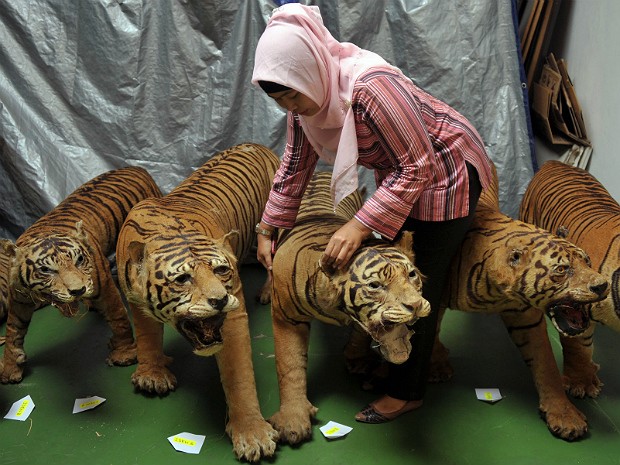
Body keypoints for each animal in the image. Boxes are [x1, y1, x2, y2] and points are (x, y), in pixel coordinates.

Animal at [0, 165, 162, 382]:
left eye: (79, 260)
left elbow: (118, 318)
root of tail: (137, 166)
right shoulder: (19, 301)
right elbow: (13, 331)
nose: (78, 291)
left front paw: (124, 354)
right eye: (46, 270)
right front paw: (10, 368)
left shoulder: (105, 288)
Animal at [115, 143, 278, 462]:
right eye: (183, 279)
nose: (220, 299)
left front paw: (252, 434)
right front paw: (152, 375)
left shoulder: (234, 318)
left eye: (221, 270)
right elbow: (147, 337)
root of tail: (257, 144)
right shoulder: (135, 301)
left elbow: (239, 376)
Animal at [272, 169, 432, 442]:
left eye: (411, 275)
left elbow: (361, 331)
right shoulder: (286, 318)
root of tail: (321, 170)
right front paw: (293, 420)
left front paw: (358, 359)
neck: (336, 309)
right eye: (376, 285)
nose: (415, 305)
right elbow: (290, 364)